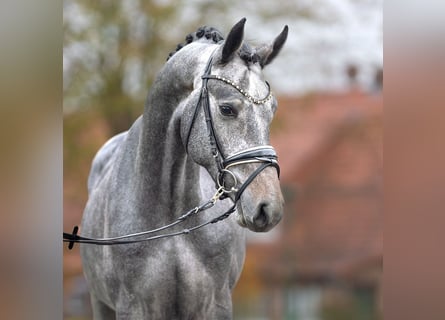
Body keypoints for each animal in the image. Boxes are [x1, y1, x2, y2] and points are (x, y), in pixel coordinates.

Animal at [80, 18, 288, 318]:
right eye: (227, 109)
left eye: (272, 110)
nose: (268, 207)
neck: (171, 217)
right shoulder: (133, 307)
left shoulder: (215, 304)